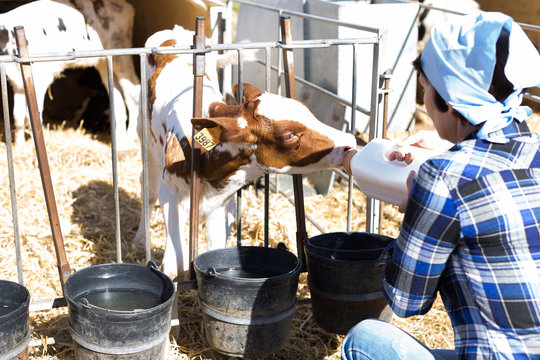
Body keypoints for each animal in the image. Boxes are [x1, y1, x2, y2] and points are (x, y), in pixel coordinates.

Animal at [1, 0, 139, 148]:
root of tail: (124, 6)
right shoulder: (17, 83)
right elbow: (18, 116)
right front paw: (19, 146)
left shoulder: (40, 79)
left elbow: (32, 116)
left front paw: (33, 146)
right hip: (104, 61)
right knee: (117, 95)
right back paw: (120, 140)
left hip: (121, 53)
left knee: (133, 92)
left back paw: (131, 137)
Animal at [135, 25, 356, 280]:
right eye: (289, 135)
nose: (350, 141)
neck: (205, 160)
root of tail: (174, 30)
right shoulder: (170, 192)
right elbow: (174, 266)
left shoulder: (223, 204)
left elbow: (213, 251)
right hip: (146, 140)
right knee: (147, 188)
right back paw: (140, 238)